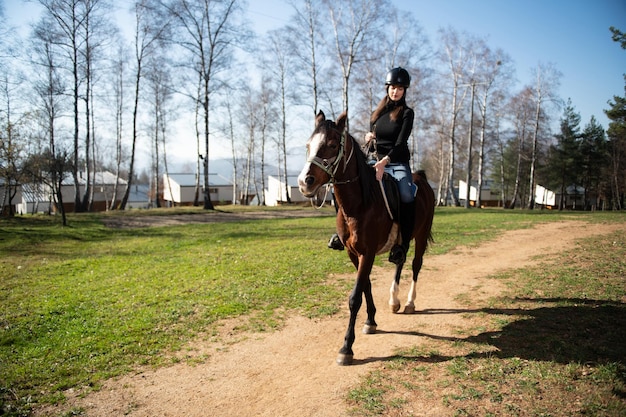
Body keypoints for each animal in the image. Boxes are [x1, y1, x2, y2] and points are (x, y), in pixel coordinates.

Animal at [294, 109, 432, 364]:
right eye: (308, 145)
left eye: (331, 145)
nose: (304, 182)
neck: (359, 204)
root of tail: (421, 178)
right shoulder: (353, 253)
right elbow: (365, 286)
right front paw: (371, 321)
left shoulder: (367, 253)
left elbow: (355, 297)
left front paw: (346, 348)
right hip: (402, 241)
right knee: (400, 261)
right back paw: (394, 301)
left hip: (421, 234)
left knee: (416, 265)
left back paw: (409, 302)